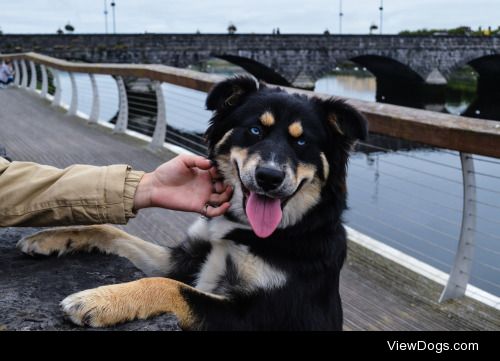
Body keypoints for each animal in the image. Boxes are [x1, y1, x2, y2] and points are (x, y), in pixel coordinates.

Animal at [16, 76, 368, 330]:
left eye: (302, 141)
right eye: (255, 129)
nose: (269, 177)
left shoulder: (259, 315)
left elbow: (168, 286)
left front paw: (100, 300)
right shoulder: (185, 258)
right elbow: (112, 233)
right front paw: (50, 238)